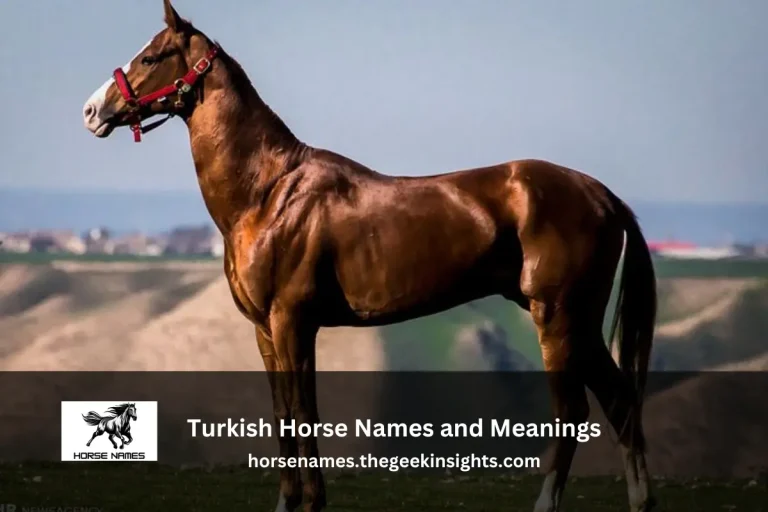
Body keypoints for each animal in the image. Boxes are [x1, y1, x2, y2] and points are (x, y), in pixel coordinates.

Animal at [82, 2, 657, 511]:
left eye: (152, 56)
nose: (92, 110)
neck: (267, 193)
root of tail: (602, 195)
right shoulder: (264, 330)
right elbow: (281, 416)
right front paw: (288, 502)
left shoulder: (293, 323)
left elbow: (303, 412)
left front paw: (312, 503)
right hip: (578, 323)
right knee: (621, 403)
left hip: (557, 318)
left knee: (573, 410)